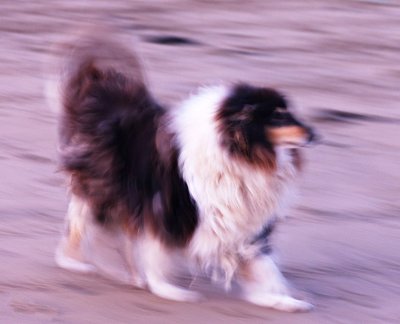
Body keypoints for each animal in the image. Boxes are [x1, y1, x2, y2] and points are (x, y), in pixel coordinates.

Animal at [47, 34, 316, 312]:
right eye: (278, 116)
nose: (314, 134)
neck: (239, 151)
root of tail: (96, 84)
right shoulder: (168, 208)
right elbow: (156, 252)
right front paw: (168, 291)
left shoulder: (244, 218)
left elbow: (262, 264)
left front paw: (280, 299)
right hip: (108, 187)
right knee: (84, 223)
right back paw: (76, 262)